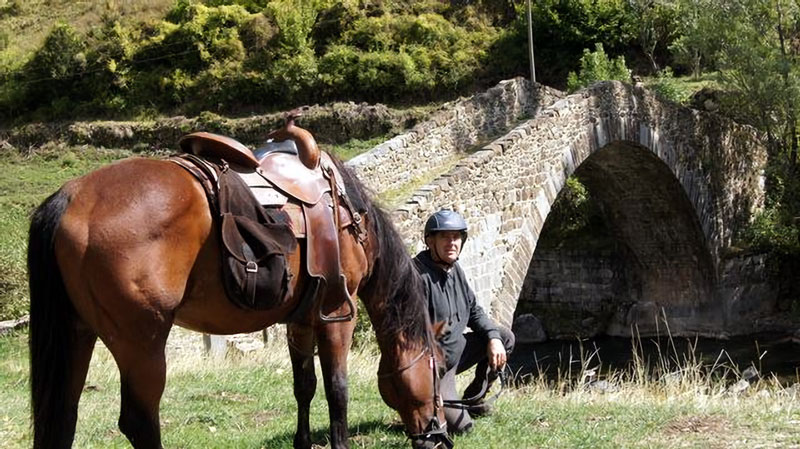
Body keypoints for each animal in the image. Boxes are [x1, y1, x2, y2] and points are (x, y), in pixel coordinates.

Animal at [26, 152, 450, 446]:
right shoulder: (335, 317)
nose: (441, 436)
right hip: (142, 345)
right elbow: (337, 391)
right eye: (441, 368)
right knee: (138, 422)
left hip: (77, 335)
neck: (349, 219)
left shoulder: (299, 320)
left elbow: (304, 386)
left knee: (62, 417)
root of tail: (71, 197)